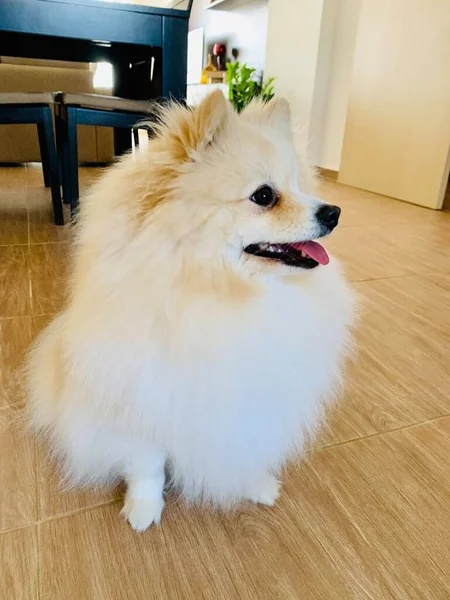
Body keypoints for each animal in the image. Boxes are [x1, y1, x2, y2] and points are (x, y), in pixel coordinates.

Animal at [26, 91, 356, 532]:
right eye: (264, 196)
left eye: (301, 188)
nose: (333, 212)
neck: (224, 295)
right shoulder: (141, 400)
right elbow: (146, 464)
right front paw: (144, 507)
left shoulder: (255, 400)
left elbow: (245, 445)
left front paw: (253, 483)